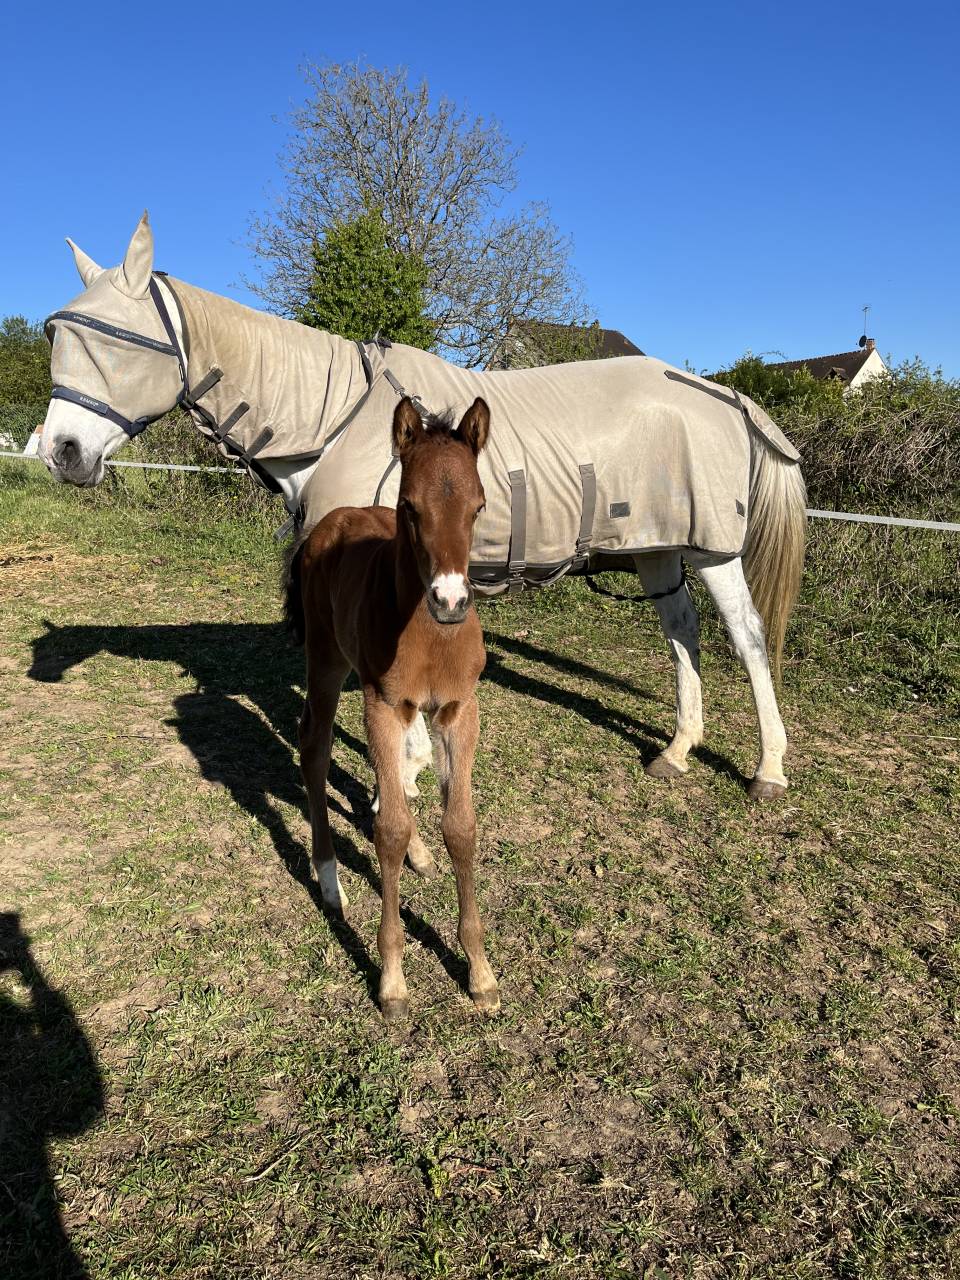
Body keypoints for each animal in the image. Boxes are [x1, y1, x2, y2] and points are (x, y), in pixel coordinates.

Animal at [40, 212, 806, 803]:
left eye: (115, 342)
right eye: (58, 336)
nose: (61, 452)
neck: (332, 421)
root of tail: (720, 393)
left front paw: (395, 793)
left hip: (712, 549)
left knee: (747, 637)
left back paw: (768, 769)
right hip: (658, 548)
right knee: (683, 632)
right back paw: (677, 750)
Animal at [285, 394, 496, 1020]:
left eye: (478, 506)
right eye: (409, 507)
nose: (451, 600)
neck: (430, 634)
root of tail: (327, 523)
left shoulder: (458, 710)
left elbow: (460, 826)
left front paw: (479, 972)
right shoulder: (379, 703)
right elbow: (389, 831)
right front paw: (393, 979)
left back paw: (419, 855)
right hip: (328, 662)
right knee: (313, 746)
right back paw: (329, 879)